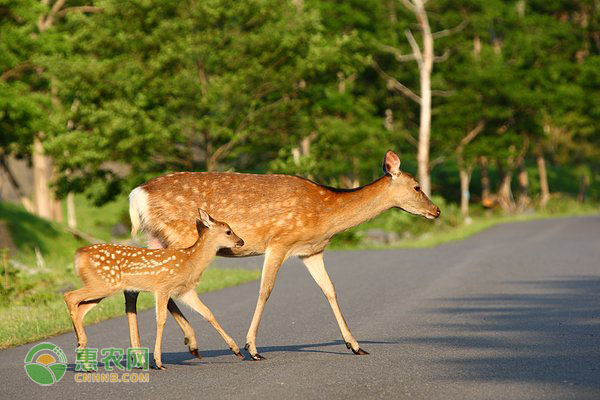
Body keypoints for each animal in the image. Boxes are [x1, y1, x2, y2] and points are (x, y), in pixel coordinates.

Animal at [126, 150, 438, 360]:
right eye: (417, 186)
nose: (436, 210)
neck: (326, 215)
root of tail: (137, 194)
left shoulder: (312, 251)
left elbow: (330, 290)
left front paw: (355, 345)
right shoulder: (280, 241)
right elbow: (265, 290)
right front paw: (252, 348)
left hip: (156, 237)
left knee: (139, 286)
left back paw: (161, 350)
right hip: (182, 237)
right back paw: (195, 345)